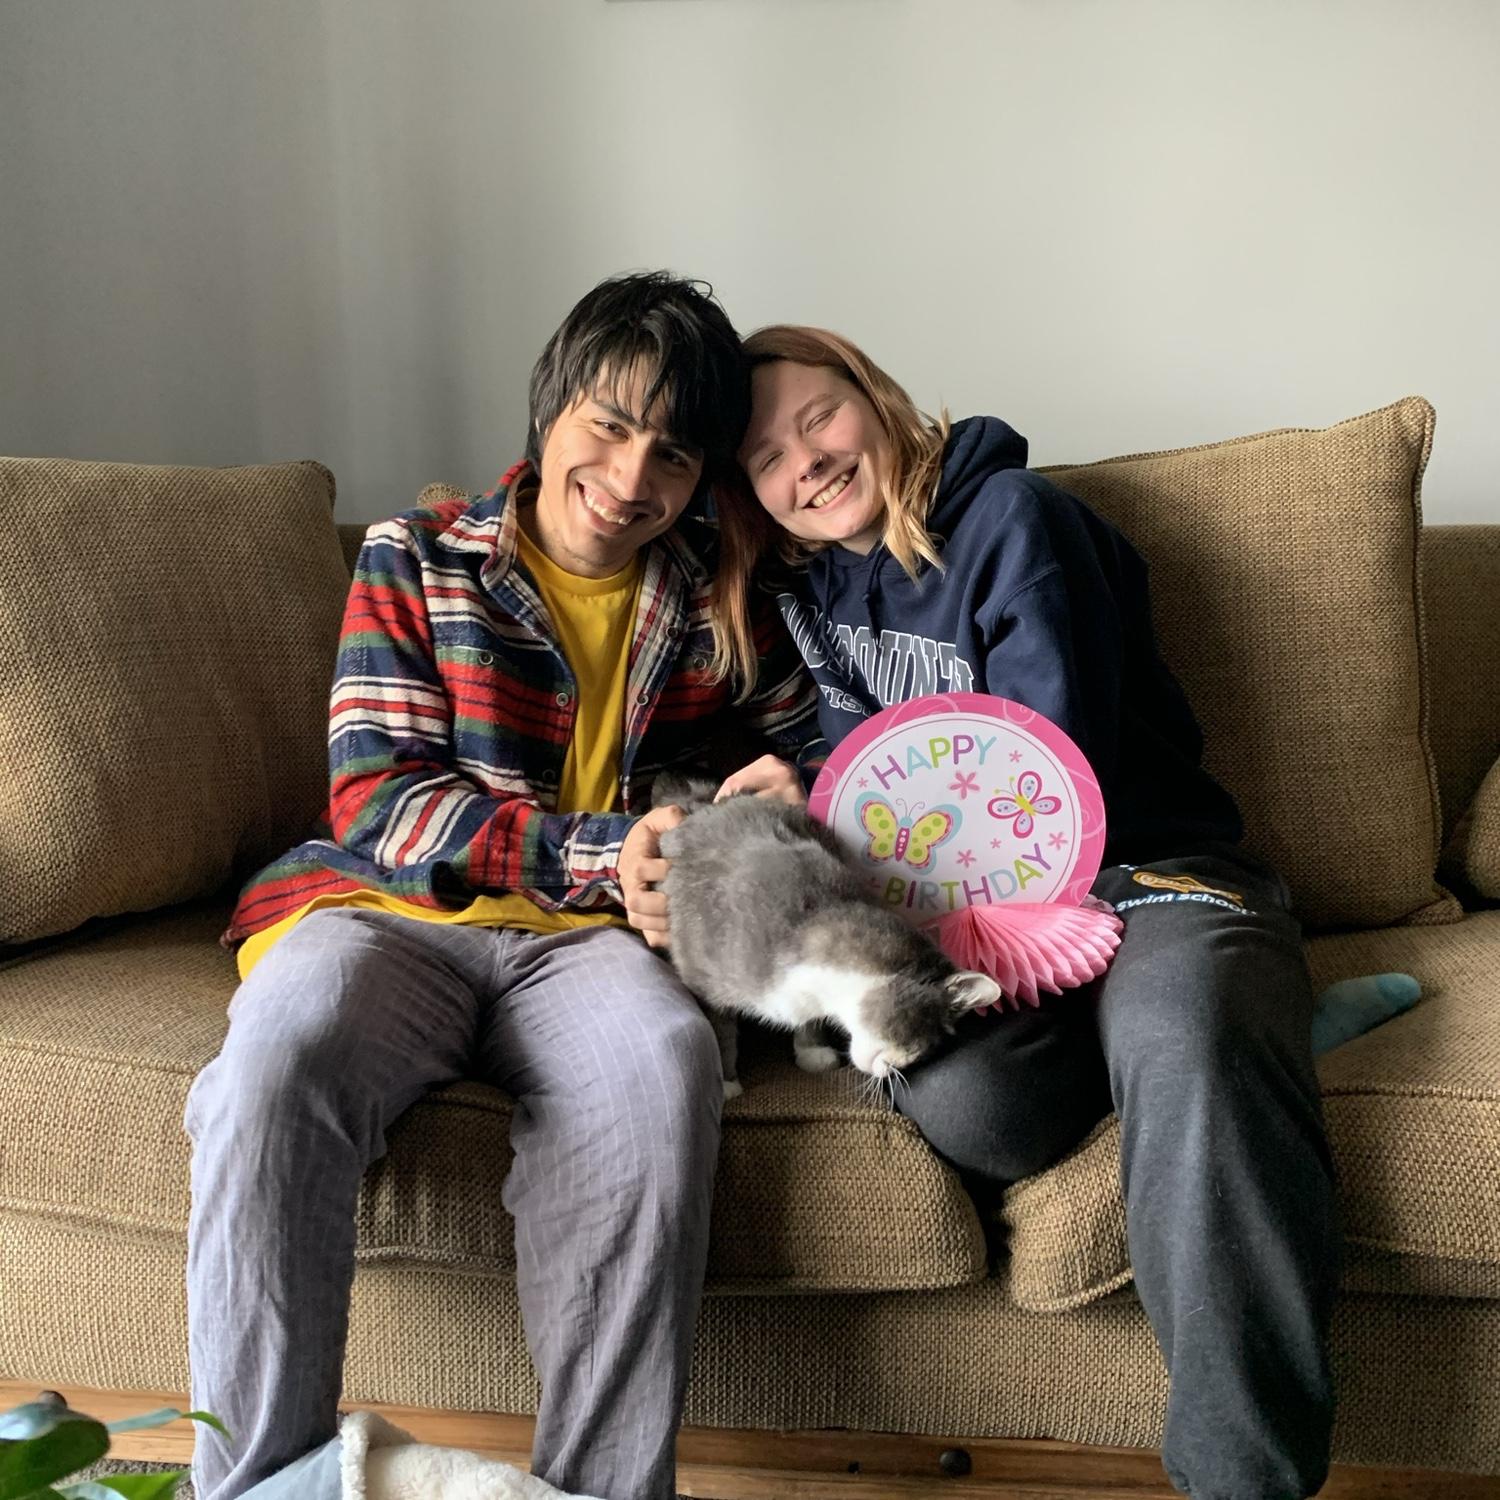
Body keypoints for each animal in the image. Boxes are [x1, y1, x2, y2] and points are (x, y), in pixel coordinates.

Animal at [652, 772, 1001, 1099]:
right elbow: (721, 1030)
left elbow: (810, 1021)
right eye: (924, 1047)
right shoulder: (704, 977)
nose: (893, 1072)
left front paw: (812, 1050)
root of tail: (703, 803)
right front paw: (726, 1084)